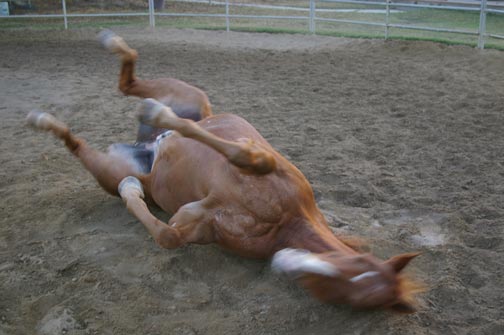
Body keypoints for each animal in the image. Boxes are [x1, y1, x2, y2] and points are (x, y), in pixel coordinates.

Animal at [26, 30, 422, 314]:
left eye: (350, 296)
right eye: (356, 266)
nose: (289, 261)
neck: (284, 220)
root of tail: (145, 146)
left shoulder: (197, 221)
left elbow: (168, 236)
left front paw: (133, 191)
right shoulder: (265, 162)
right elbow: (247, 156)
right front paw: (163, 120)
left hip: (108, 167)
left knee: (85, 136)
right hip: (188, 98)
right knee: (125, 92)